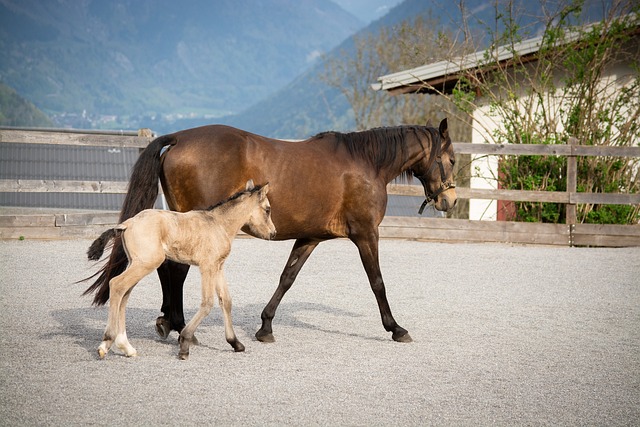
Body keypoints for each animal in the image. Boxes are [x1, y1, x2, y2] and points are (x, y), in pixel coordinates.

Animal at [88, 182, 276, 360]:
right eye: (267, 210)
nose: (273, 233)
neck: (218, 224)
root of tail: (127, 224)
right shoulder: (207, 266)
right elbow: (207, 303)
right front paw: (184, 343)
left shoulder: (218, 266)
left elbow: (226, 301)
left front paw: (235, 343)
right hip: (146, 263)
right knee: (117, 285)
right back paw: (107, 342)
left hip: (137, 264)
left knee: (124, 294)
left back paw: (126, 347)